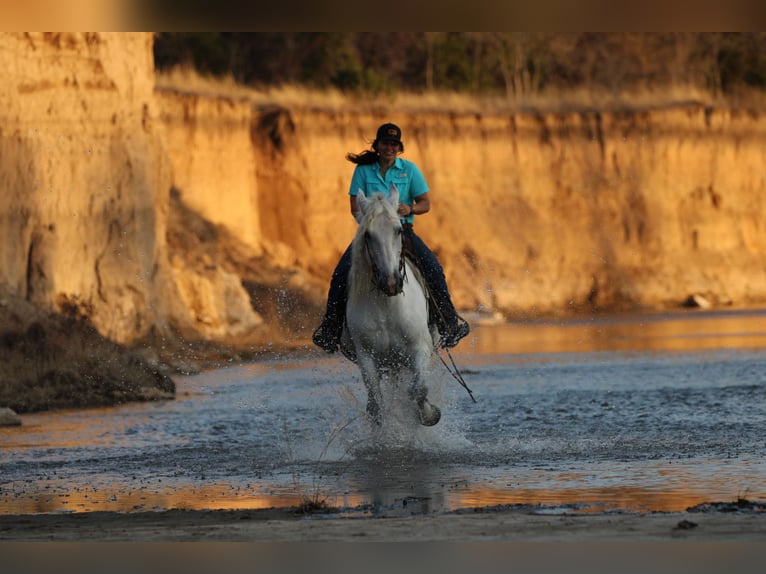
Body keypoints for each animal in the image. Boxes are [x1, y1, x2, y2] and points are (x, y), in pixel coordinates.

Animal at [344, 186, 444, 428]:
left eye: (399, 230)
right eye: (368, 235)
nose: (391, 282)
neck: (387, 305)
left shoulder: (420, 347)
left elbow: (419, 389)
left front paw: (429, 414)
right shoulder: (367, 357)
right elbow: (376, 404)